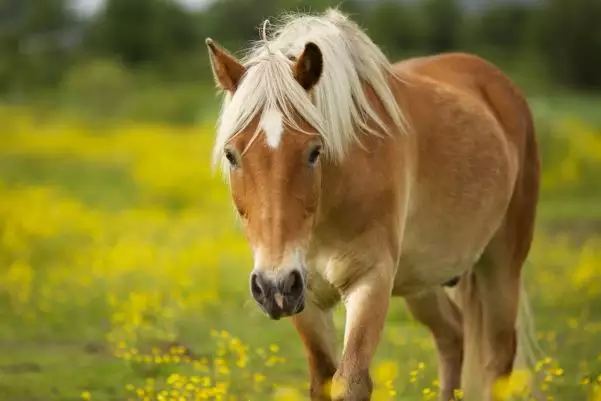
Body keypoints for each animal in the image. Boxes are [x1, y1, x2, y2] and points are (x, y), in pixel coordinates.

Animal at [204, 8, 540, 400]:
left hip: (501, 267)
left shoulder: (370, 281)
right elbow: (322, 380)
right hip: (423, 280)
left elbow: (351, 382)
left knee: (498, 361)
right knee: (452, 337)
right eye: (232, 155)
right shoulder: (305, 299)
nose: (274, 286)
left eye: (314, 151)